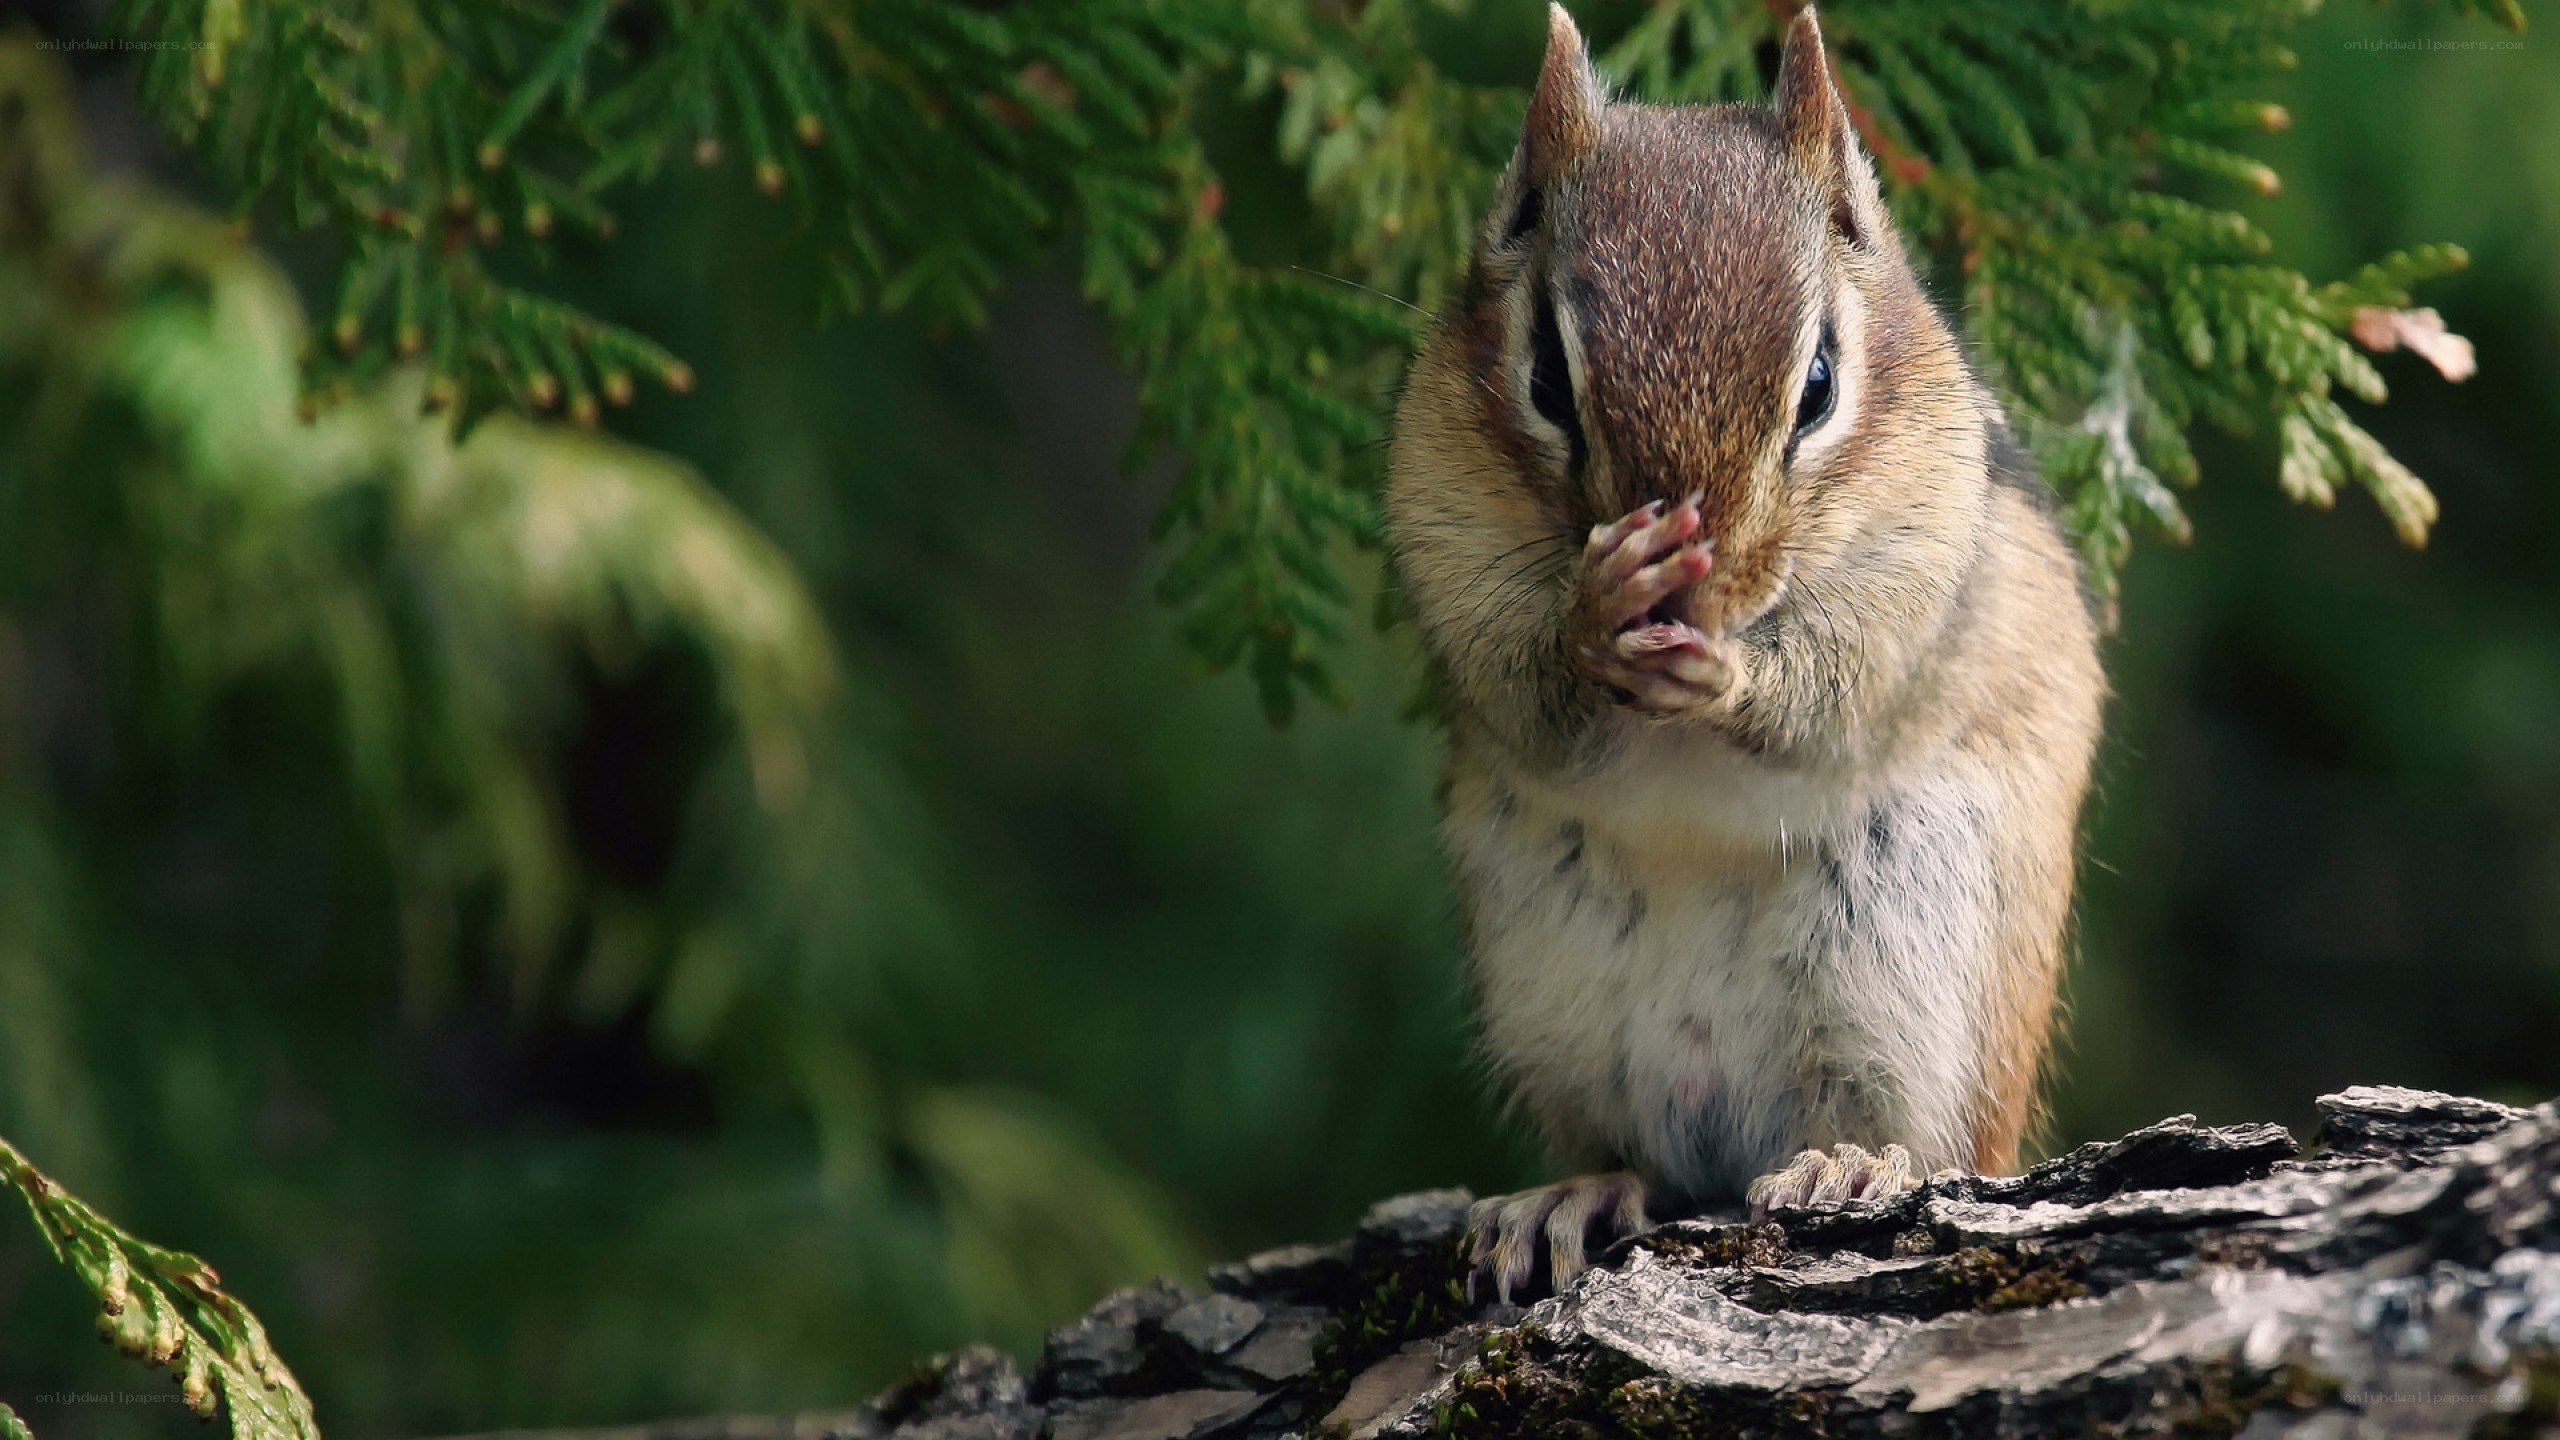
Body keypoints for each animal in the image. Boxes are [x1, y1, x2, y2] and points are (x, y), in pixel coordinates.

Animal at [1384, 4, 2105, 1301]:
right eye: (1547, 380)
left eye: (1817, 385)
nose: (1696, 587)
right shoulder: (1441, 533)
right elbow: (1521, 684)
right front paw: (1597, 614)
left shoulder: (1921, 573)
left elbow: (1838, 694)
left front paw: (1727, 675)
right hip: (1549, 989)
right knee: (1637, 1153)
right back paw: (1574, 1192)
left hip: (1923, 974)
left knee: (1925, 1139)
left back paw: (1848, 1164)